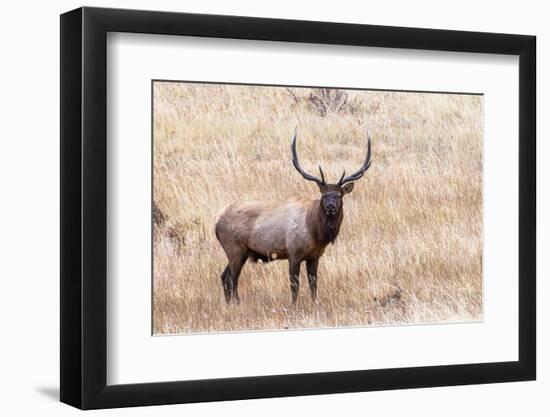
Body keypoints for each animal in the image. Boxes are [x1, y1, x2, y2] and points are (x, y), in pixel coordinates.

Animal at [213, 130, 374, 302]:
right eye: (323, 195)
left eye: (339, 195)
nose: (331, 206)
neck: (316, 233)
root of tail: (216, 221)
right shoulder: (293, 252)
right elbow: (294, 285)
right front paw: (293, 305)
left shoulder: (315, 256)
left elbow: (313, 284)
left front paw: (314, 302)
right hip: (234, 248)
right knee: (232, 278)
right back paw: (236, 303)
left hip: (240, 251)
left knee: (224, 276)